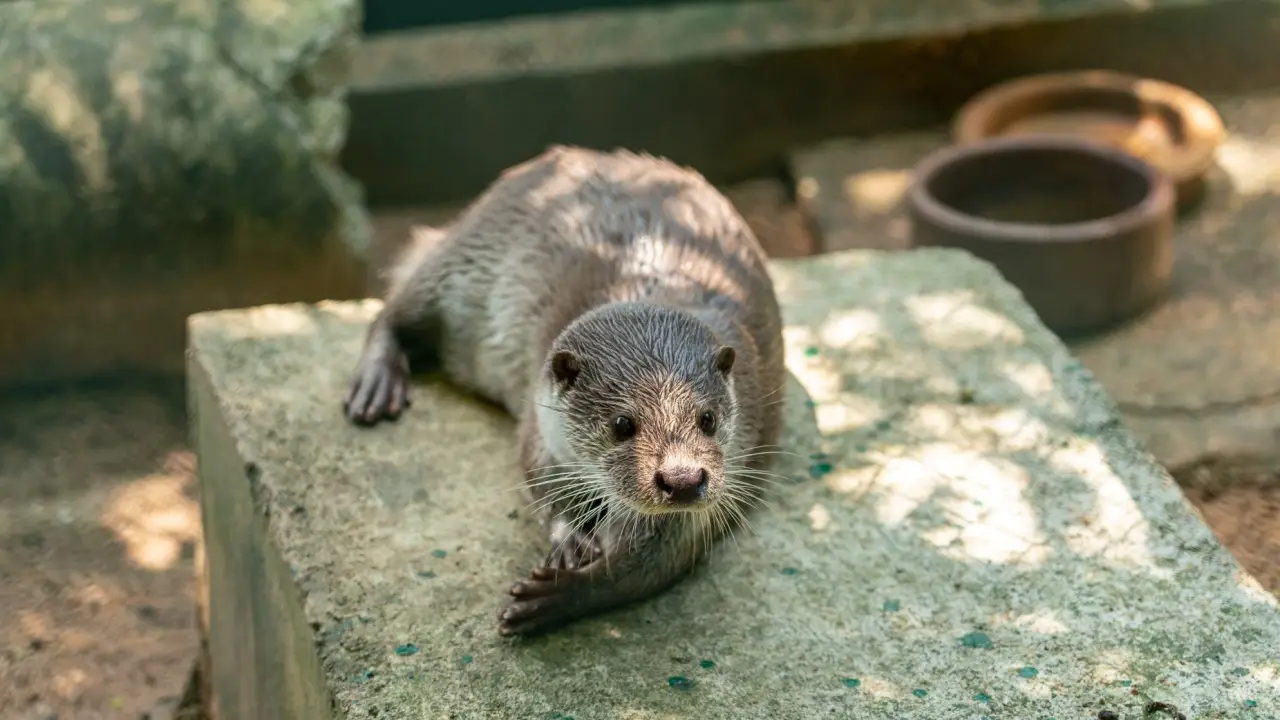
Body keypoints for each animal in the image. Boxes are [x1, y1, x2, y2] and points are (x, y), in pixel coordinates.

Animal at [345, 146, 783, 632]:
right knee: (394, 310)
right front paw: (570, 535)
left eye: (707, 419)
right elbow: (540, 478)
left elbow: (647, 565)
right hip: (464, 259)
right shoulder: (541, 424)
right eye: (622, 424)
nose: (682, 479)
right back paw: (375, 384)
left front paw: (559, 595)